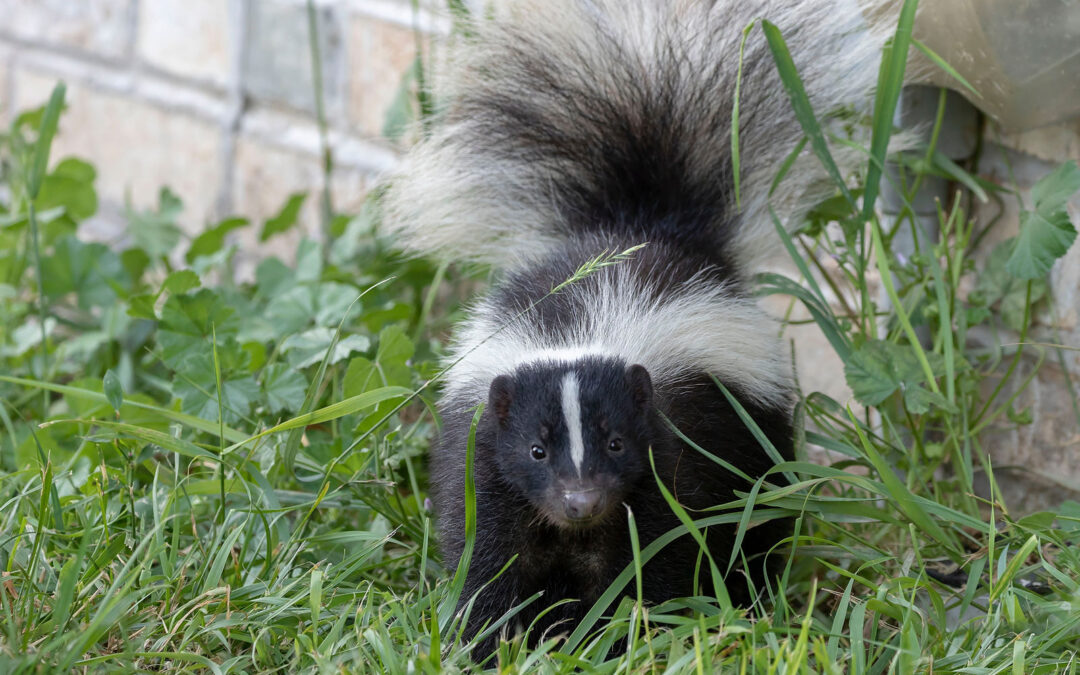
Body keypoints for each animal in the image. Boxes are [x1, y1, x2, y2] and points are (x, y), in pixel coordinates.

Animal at [380, 0, 894, 652]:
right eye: (536, 449)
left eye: (617, 442)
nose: (581, 500)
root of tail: (644, 225)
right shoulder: (485, 462)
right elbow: (491, 556)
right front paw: (487, 640)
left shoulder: (669, 457)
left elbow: (650, 556)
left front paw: (621, 638)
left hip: (756, 432)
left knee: (760, 516)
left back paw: (752, 596)